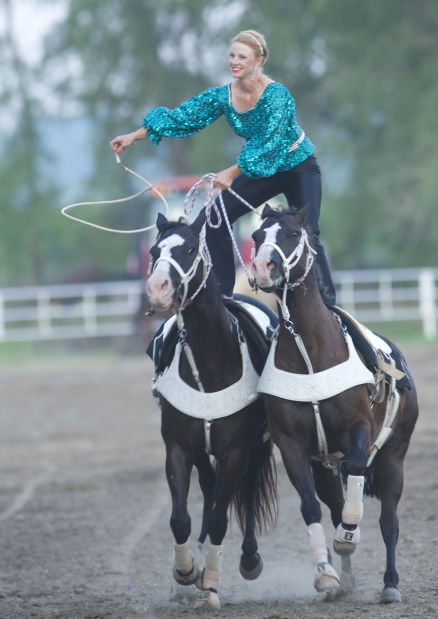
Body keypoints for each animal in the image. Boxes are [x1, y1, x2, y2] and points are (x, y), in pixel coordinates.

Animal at [146, 213, 278, 612]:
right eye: (155, 251)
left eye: (190, 249)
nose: (157, 288)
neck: (211, 364)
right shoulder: (178, 447)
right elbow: (180, 518)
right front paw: (188, 570)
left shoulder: (237, 450)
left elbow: (223, 515)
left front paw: (211, 590)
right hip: (205, 452)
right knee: (209, 488)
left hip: (258, 447)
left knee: (246, 493)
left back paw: (248, 559)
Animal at [250, 206, 418, 604]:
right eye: (257, 236)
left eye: (292, 233)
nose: (264, 266)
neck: (310, 351)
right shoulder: (292, 445)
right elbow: (311, 506)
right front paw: (326, 575)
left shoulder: (359, 430)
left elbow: (356, 471)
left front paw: (349, 536)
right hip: (324, 467)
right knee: (334, 504)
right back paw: (347, 579)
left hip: (394, 456)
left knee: (389, 520)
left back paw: (390, 584)